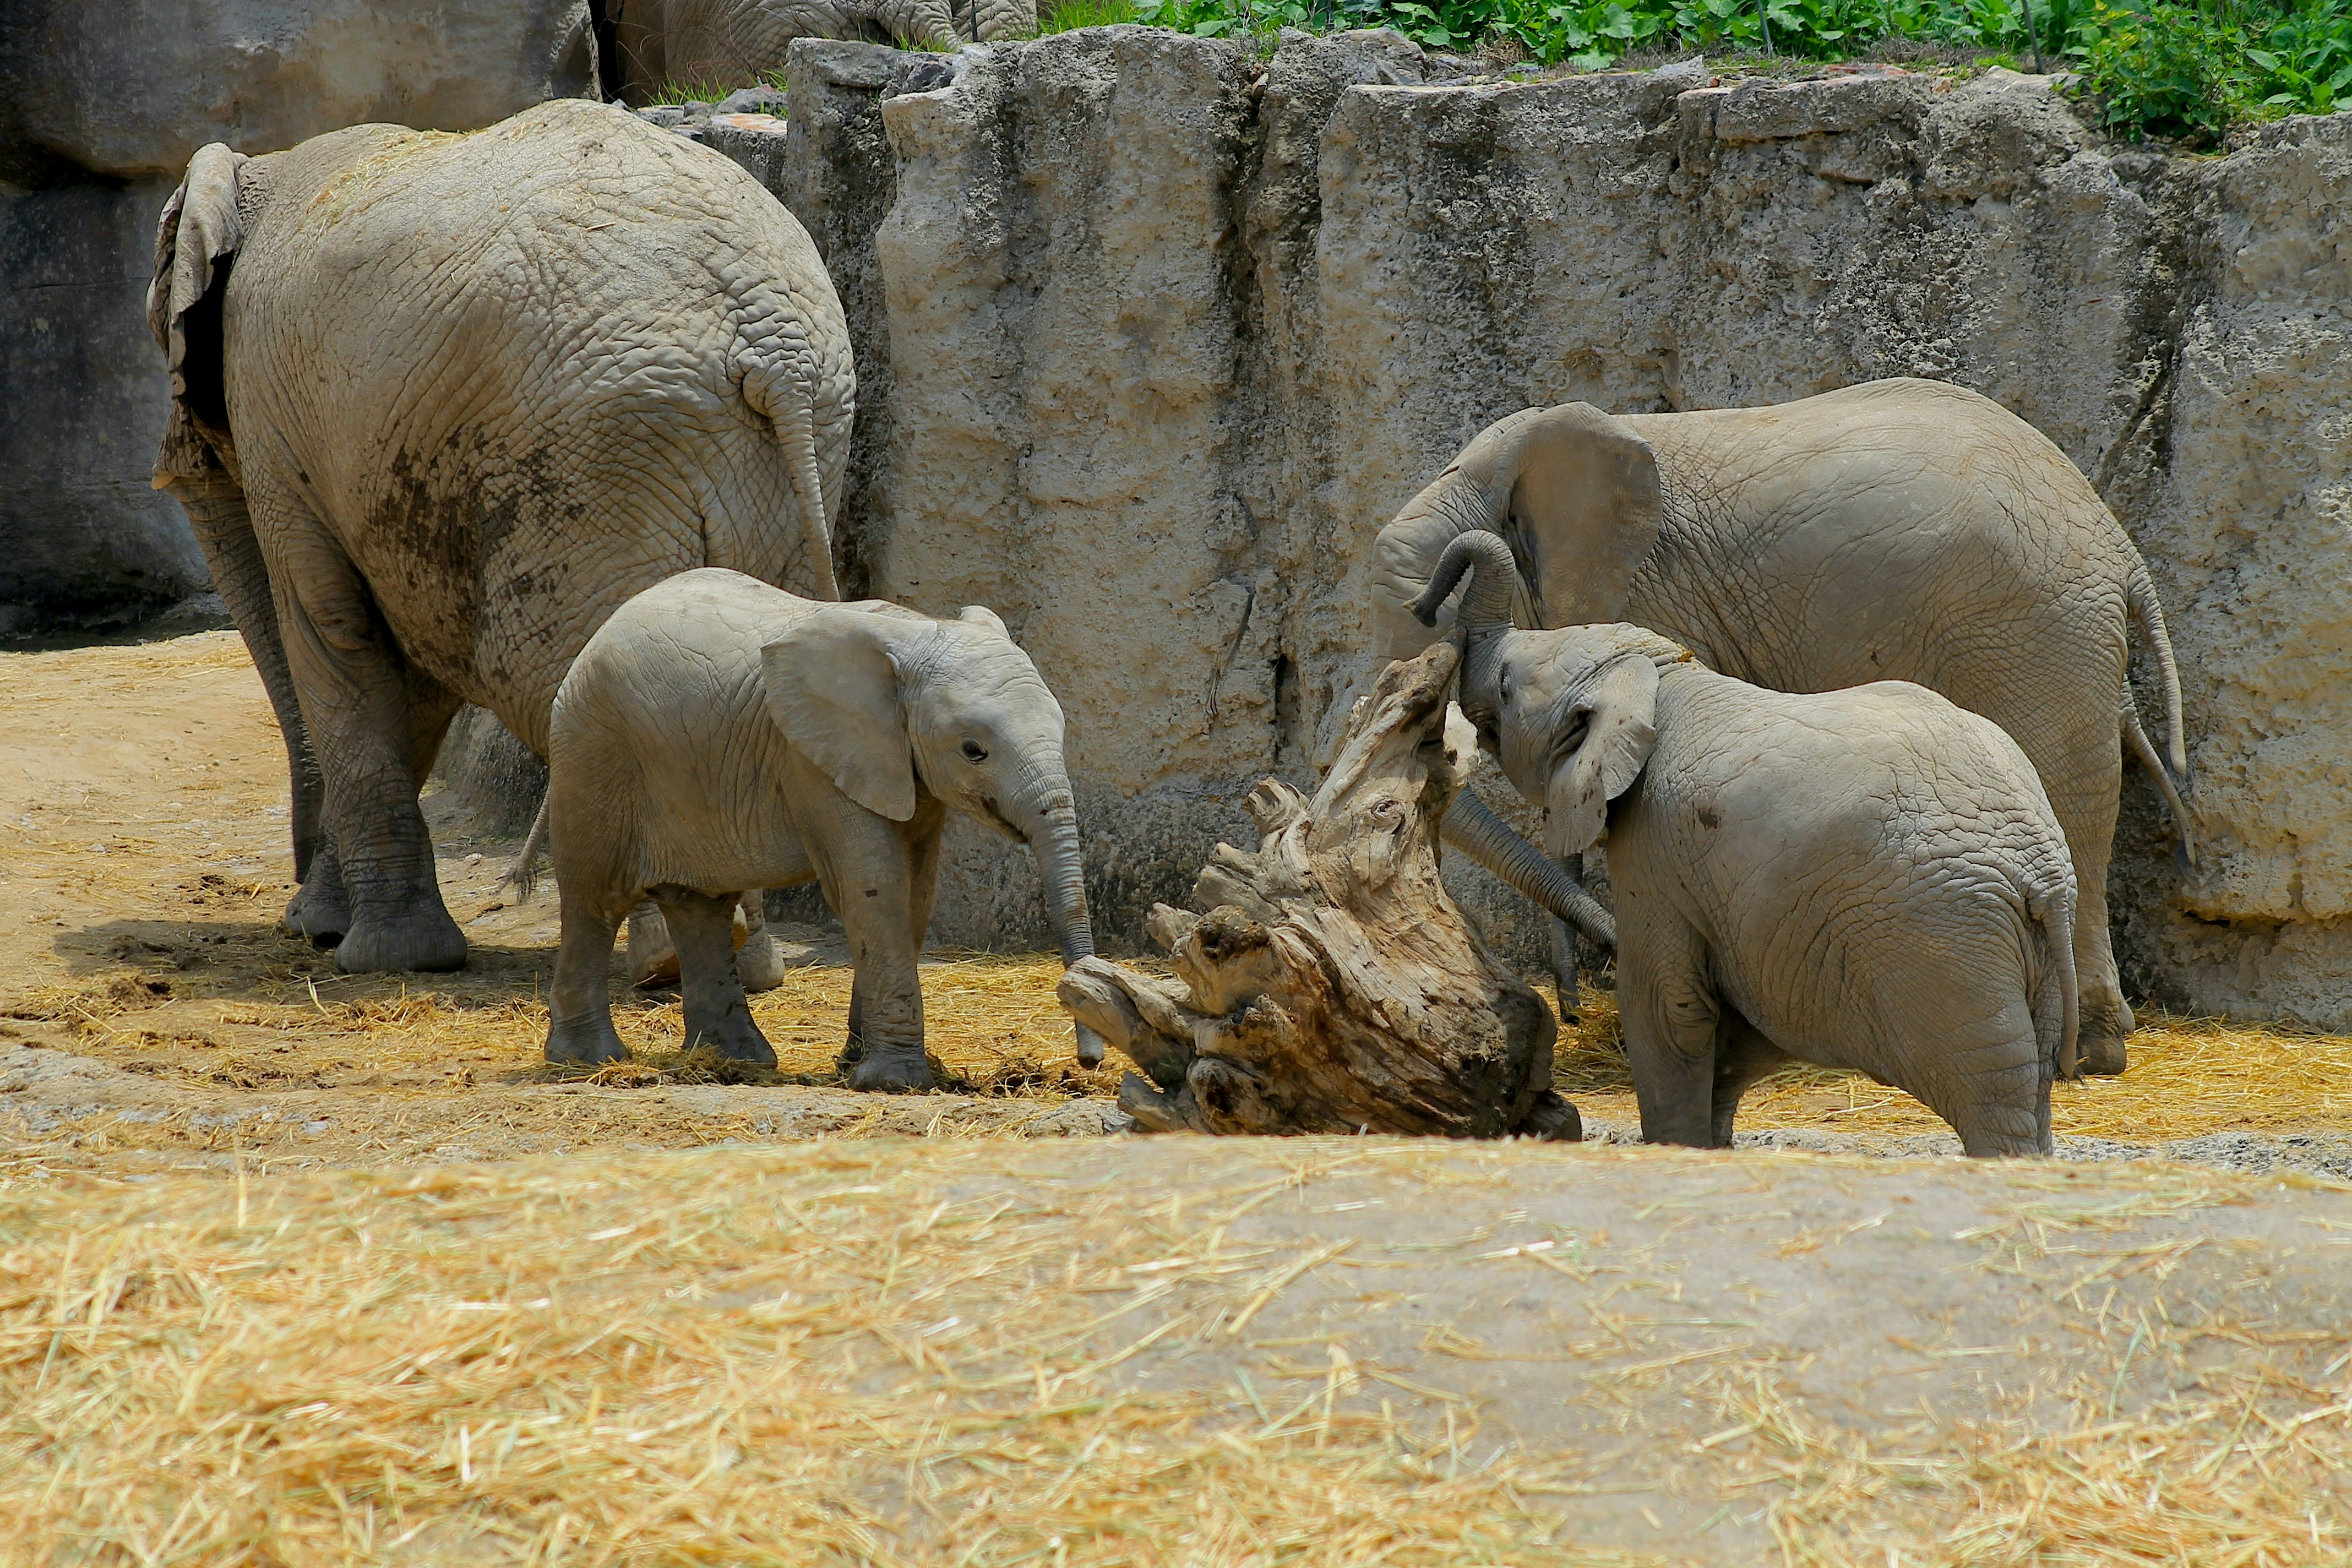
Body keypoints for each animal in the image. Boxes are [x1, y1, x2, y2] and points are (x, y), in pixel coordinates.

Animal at [148, 98, 854, 975]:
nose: (303, 919)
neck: (260, 168)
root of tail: (771, 342)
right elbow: (409, 671)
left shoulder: (274, 415)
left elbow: (333, 629)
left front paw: (381, 958)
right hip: (805, 436)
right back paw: (738, 965)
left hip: (597, 456)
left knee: (543, 667)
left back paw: (663, 961)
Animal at [523, 568, 1100, 1089]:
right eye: (973, 750)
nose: (1088, 1061)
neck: (913, 631)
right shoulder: (812, 761)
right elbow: (874, 887)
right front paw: (895, 1083)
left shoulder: (901, 766)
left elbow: (914, 894)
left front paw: (855, 1066)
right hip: (595, 749)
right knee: (597, 898)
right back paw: (590, 1060)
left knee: (700, 906)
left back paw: (737, 1062)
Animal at [1372, 378, 2189, 1077]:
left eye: (1438, 607)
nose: (1570, 1007)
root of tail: (2120, 547)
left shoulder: (1653, 594)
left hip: (2035, 629)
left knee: (2069, 791)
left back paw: (2089, 1055)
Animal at [1421, 533, 2080, 1157]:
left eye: (1506, 687)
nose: (1426, 608)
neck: (1659, 673)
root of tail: (2043, 871)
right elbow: (1732, 1033)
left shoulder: (1657, 847)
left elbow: (1670, 1007)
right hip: (2027, 957)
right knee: (2033, 1087)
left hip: (1944, 942)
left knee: (1993, 1099)